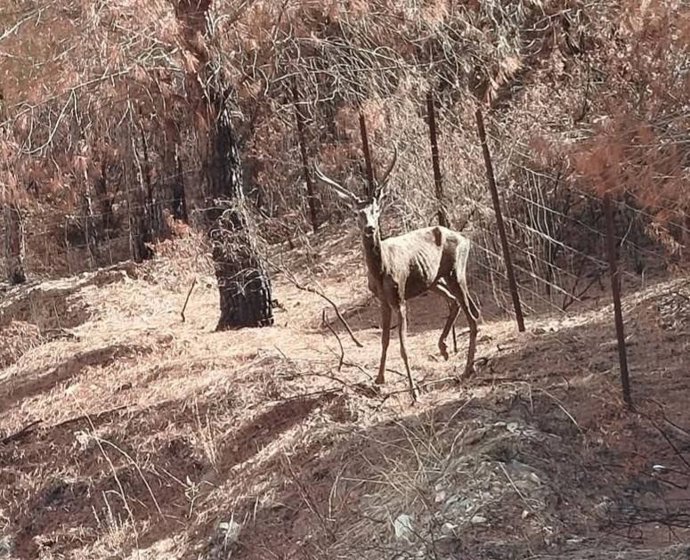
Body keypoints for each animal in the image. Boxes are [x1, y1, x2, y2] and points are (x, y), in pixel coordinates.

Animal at [314, 148, 479, 401]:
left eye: (376, 210)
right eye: (357, 213)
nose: (370, 228)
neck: (381, 271)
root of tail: (465, 239)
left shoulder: (399, 296)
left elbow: (402, 346)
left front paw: (413, 391)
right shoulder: (382, 300)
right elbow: (384, 340)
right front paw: (379, 379)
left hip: (456, 271)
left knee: (473, 316)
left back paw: (468, 367)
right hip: (433, 280)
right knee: (455, 303)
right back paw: (444, 349)